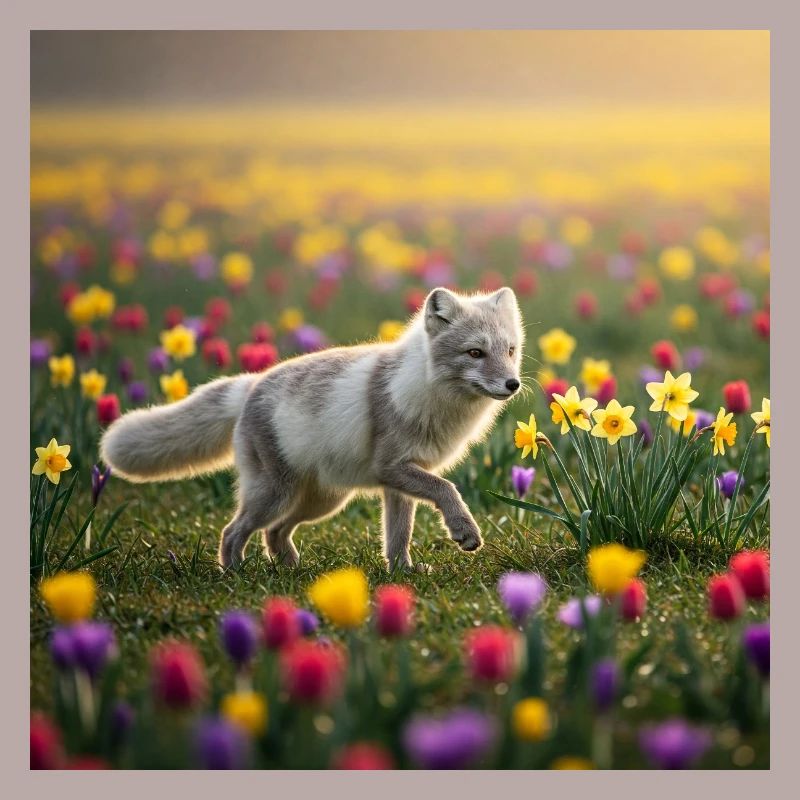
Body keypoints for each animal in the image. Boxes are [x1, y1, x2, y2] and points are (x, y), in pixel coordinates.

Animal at [100, 286, 525, 572]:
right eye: (474, 353)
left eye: (510, 351)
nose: (513, 385)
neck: (427, 389)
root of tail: (253, 384)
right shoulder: (394, 469)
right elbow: (447, 489)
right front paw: (464, 531)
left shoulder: (397, 484)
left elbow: (397, 536)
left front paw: (402, 572)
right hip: (276, 495)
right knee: (233, 531)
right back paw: (235, 574)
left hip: (322, 501)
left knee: (274, 533)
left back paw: (289, 569)